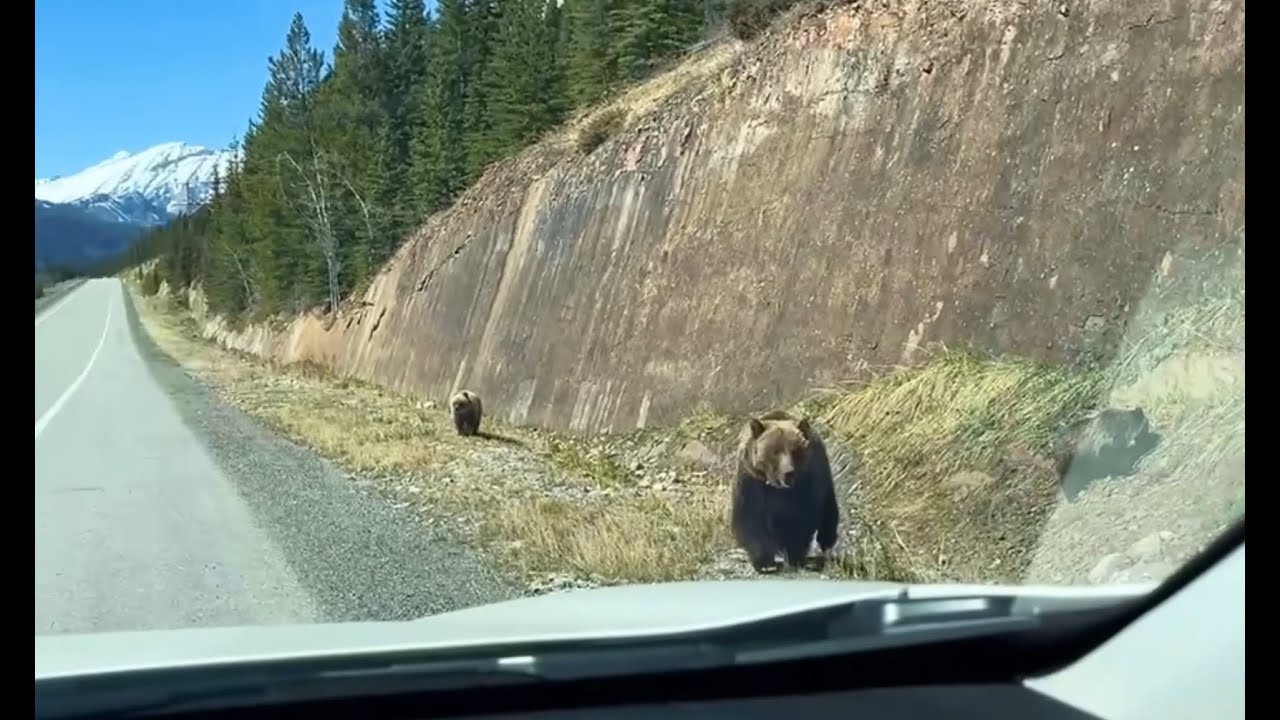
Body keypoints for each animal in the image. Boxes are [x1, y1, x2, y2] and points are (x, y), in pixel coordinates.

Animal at [730, 409, 840, 573]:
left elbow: (801, 519)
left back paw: (826, 542)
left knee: (829, 511)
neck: (777, 486)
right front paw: (765, 563)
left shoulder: (805, 484)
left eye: (794, 450)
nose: (789, 472)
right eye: (775, 451)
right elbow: (750, 520)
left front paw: (794, 555)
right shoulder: (751, 481)